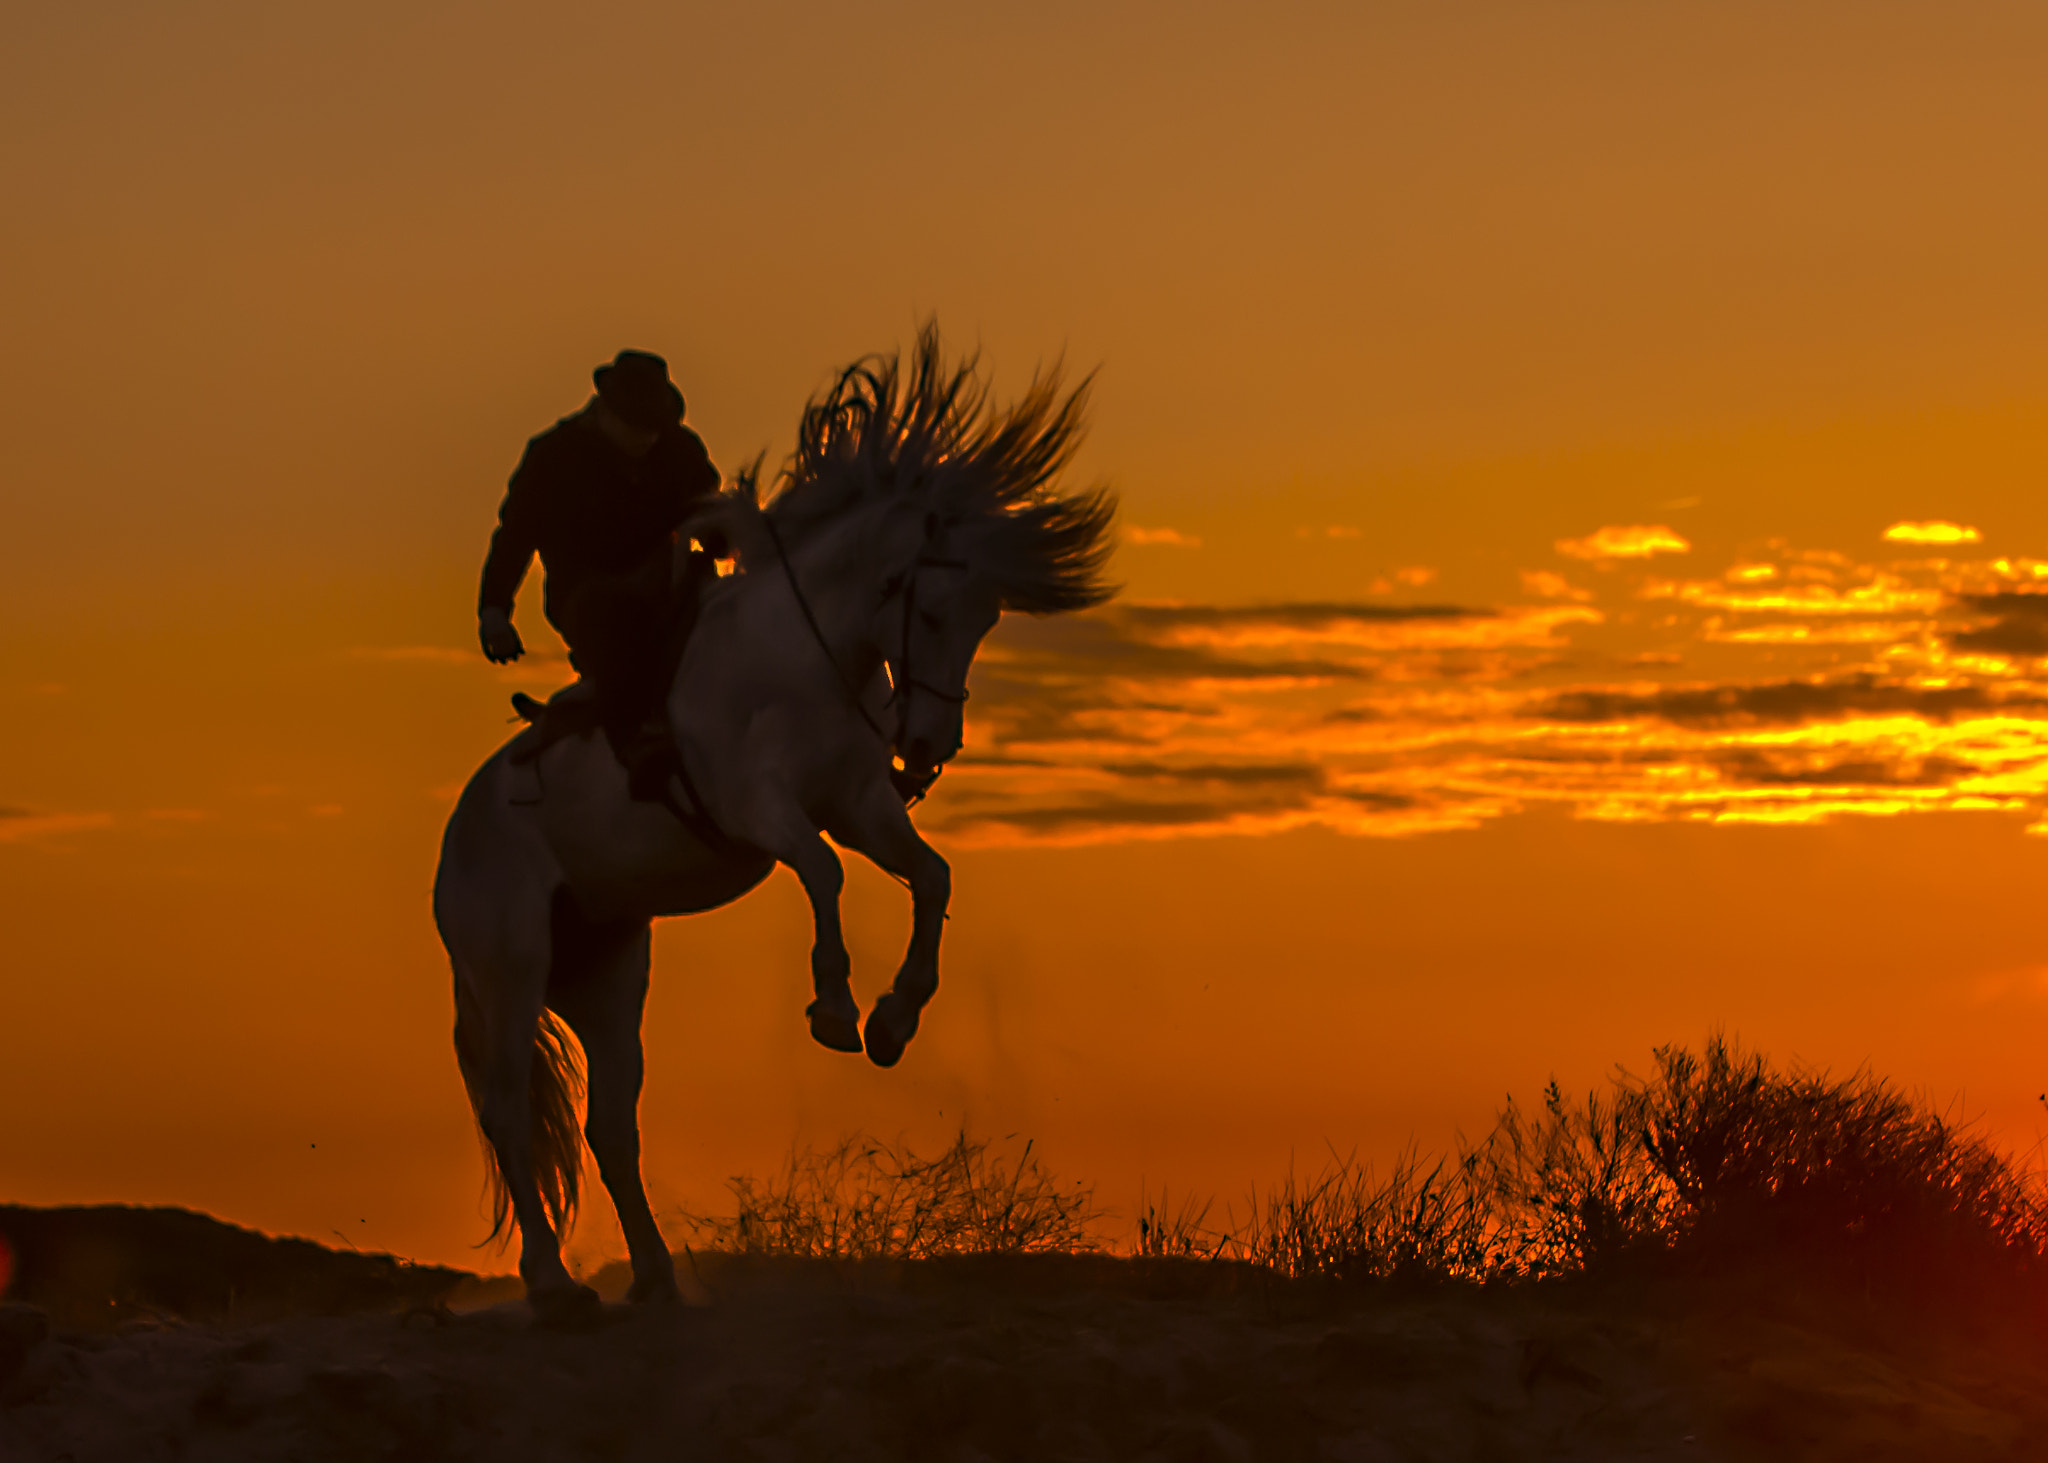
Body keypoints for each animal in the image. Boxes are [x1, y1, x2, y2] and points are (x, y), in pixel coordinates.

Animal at [421, 327, 1114, 1319]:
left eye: (985, 615)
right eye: (930, 605)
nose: (930, 743)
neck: (804, 656)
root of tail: (458, 835)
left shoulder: (859, 804)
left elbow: (930, 875)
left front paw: (895, 1019)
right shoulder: (763, 809)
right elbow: (824, 873)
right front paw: (835, 1006)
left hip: (607, 976)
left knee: (609, 1125)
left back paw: (657, 1276)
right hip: (507, 969)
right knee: (511, 1112)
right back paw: (555, 1285)